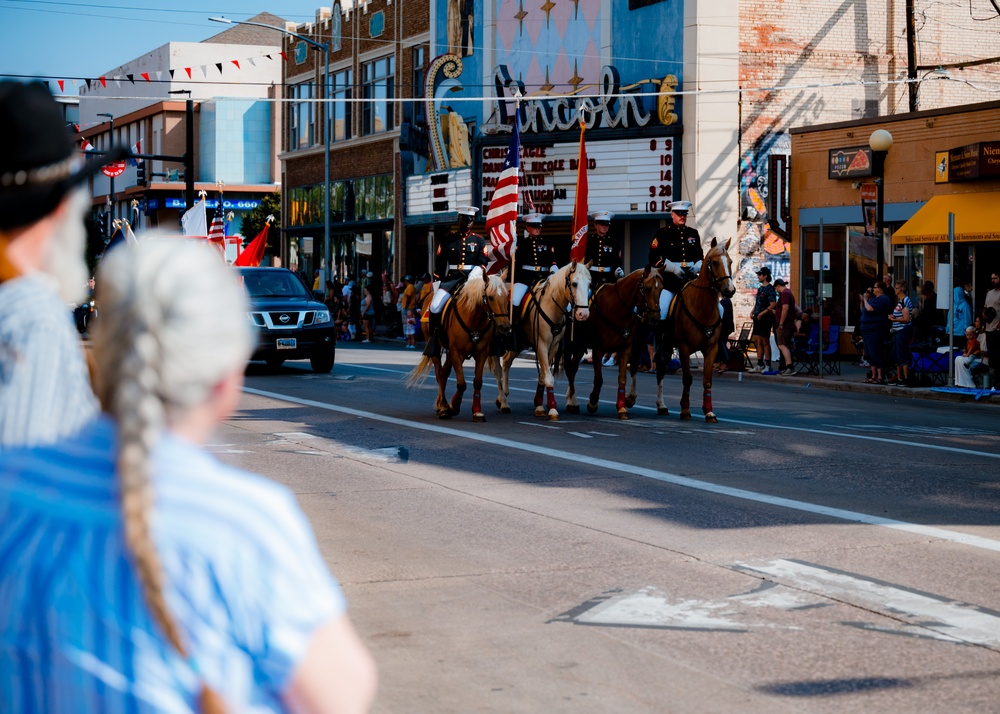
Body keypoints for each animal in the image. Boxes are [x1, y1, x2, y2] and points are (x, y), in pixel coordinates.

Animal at [406, 270, 512, 420]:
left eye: (505, 296)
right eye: (490, 297)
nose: (505, 327)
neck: (473, 318)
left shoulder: (481, 353)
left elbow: (477, 382)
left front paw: (477, 411)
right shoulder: (457, 352)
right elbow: (461, 383)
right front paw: (454, 406)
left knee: (444, 372)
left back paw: (442, 405)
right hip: (435, 346)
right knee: (439, 373)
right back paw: (443, 406)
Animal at [494, 260, 592, 418]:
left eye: (589, 284)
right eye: (574, 283)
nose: (583, 314)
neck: (551, 306)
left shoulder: (554, 346)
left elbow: (543, 375)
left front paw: (539, 404)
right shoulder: (541, 344)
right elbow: (547, 376)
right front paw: (552, 408)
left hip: (519, 343)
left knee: (507, 361)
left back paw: (503, 395)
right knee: (497, 369)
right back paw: (503, 402)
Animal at [564, 264, 664, 418]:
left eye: (661, 288)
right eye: (647, 288)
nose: (655, 317)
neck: (617, 308)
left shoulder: (625, 350)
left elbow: (622, 378)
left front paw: (622, 407)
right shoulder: (598, 350)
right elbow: (599, 379)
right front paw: (593, 402)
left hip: (580, 348)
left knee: (573, 368)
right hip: (570, 345)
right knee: (569, 369)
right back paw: (571, 401)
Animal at [648, 236, 736, 420]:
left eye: (730, 261)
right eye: (715, 262)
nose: (729, 290)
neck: (702, 306)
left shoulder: (711, 349)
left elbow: (707, 380)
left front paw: (709, 411)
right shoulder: (684, 348)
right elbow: (687, 378)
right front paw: (685, 409)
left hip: (668, 344)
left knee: (661, 367)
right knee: (658, 368)